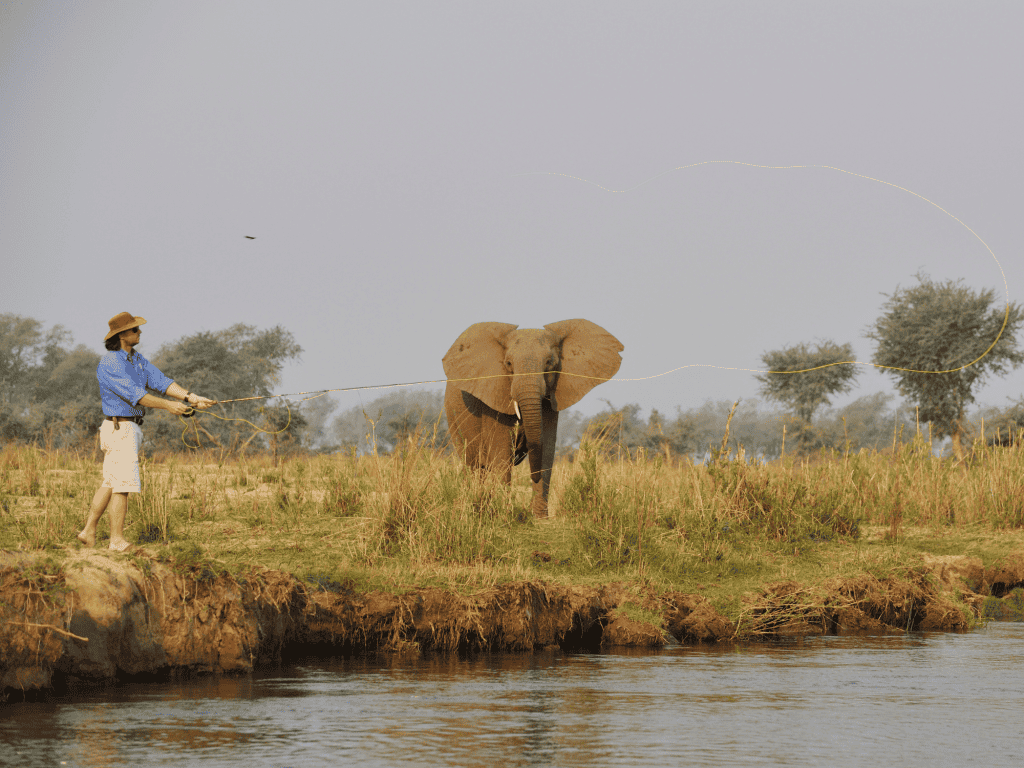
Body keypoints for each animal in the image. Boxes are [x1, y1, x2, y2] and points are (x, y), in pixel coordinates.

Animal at [442, 319, 622, 518]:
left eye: (550, 362)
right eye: (508, 363)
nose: (533, 477)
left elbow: (546, 449)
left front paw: (540, 518)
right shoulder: (494, 393)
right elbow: (501, 452)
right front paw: (504, 515)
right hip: (454, 418)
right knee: (473, 465)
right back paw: (477, 511)